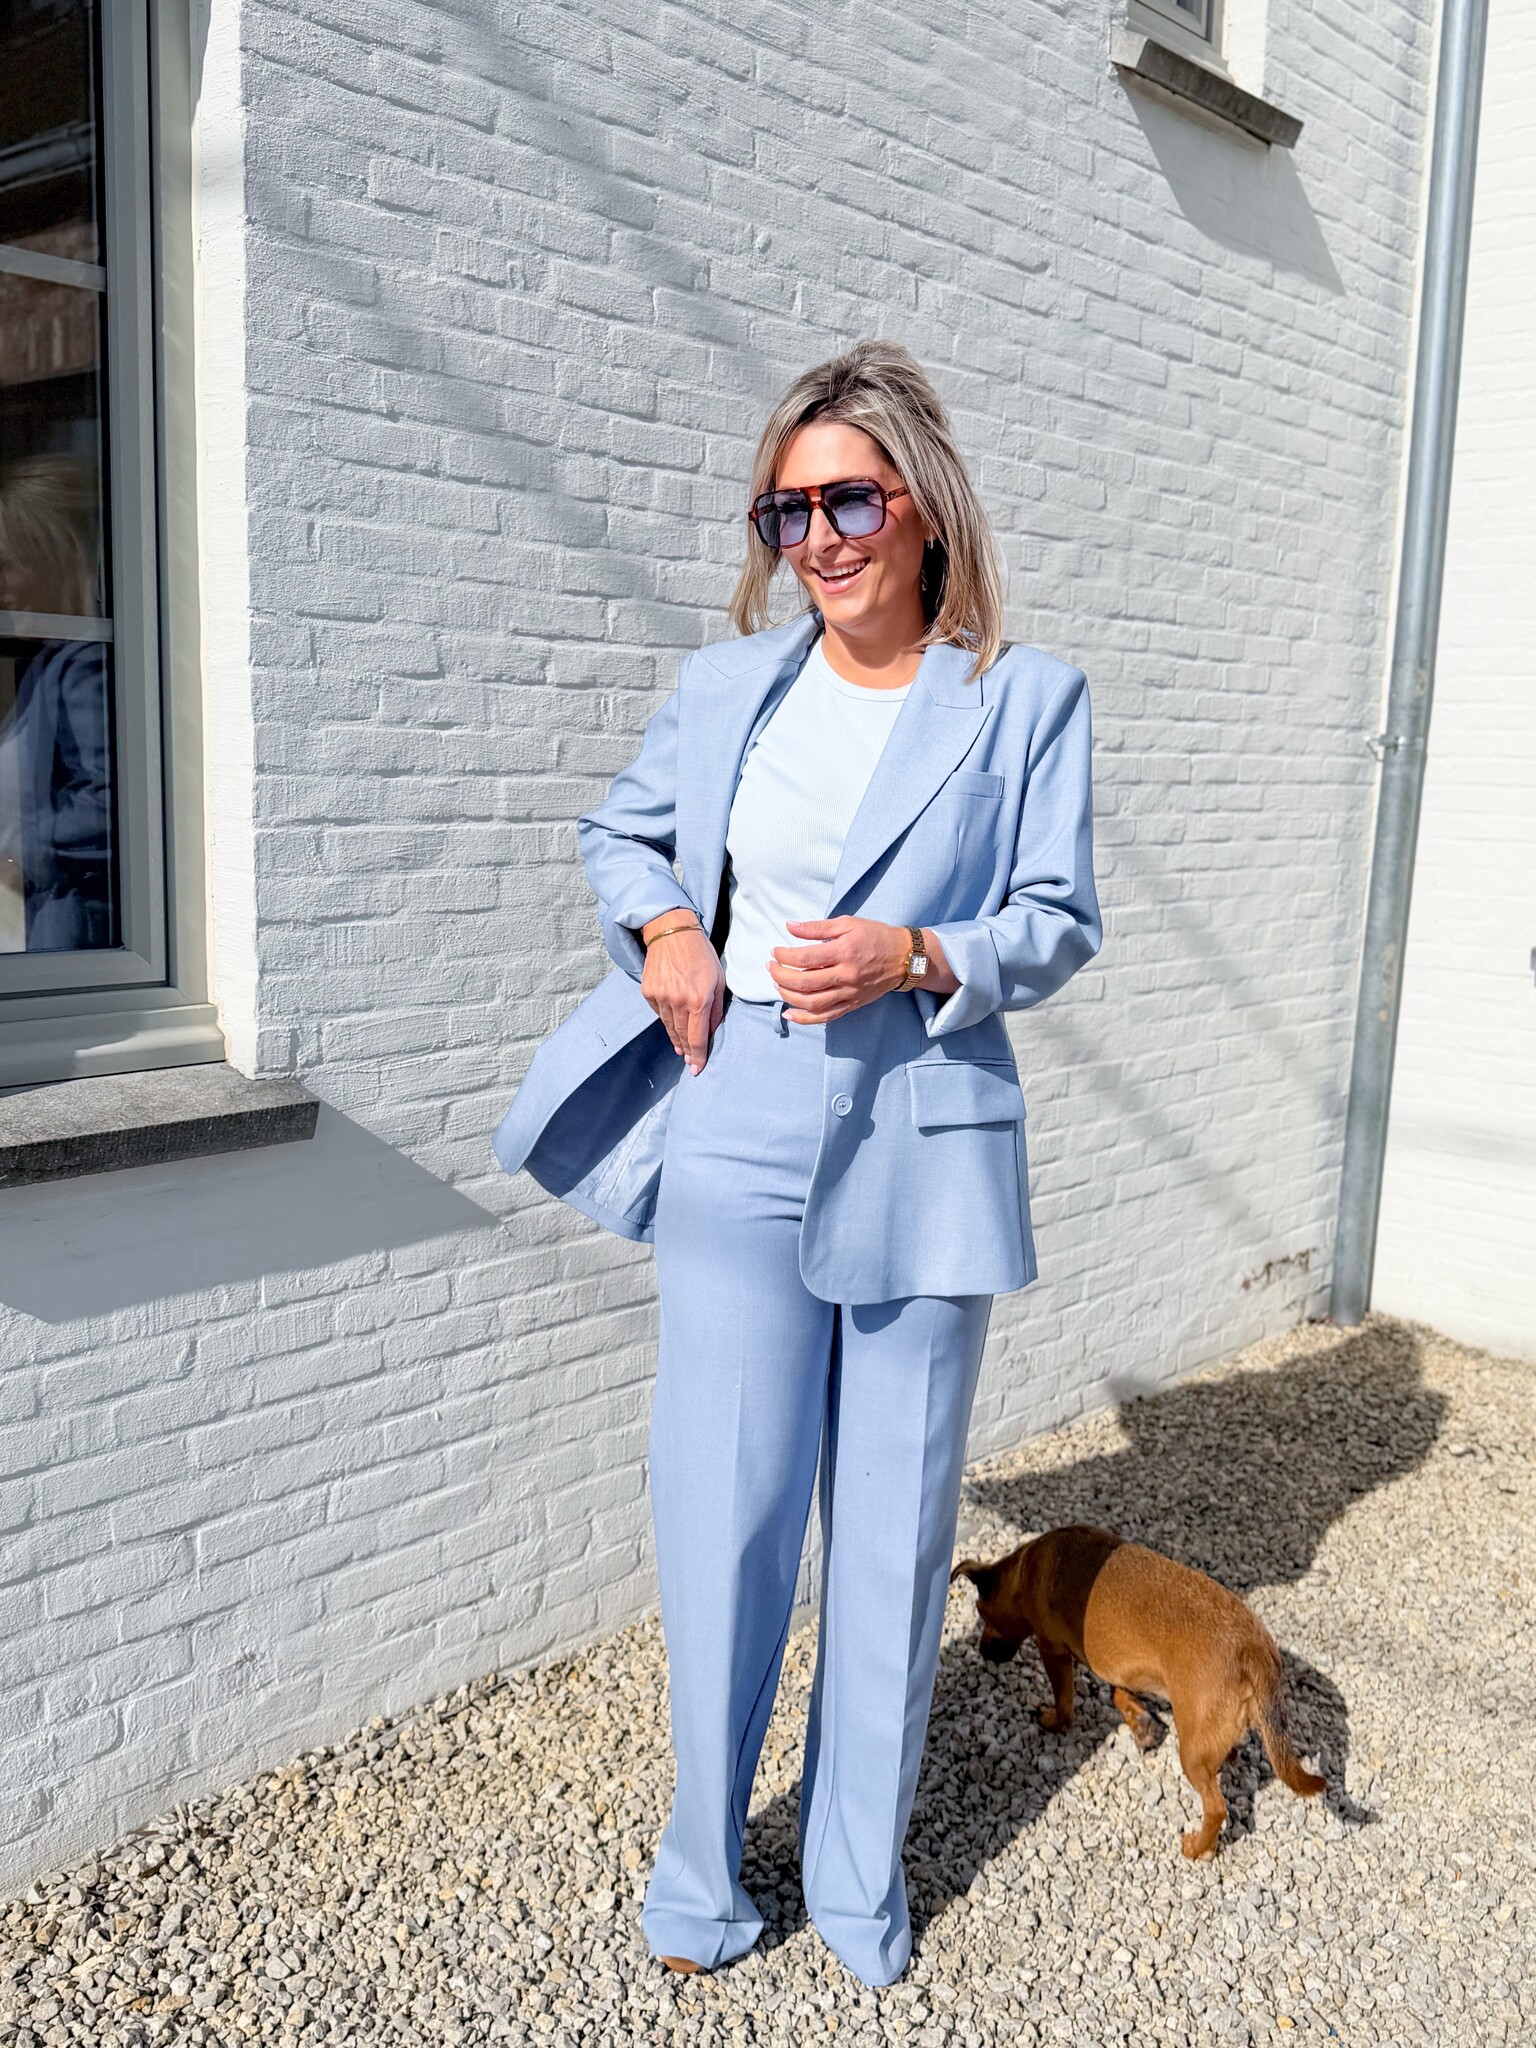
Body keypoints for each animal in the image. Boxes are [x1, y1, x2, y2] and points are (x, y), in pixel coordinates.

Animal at [952, 1524, 1326, 1858]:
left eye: (981, 1613)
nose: (982, 1651)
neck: (1025, 1570)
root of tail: (1253, 1648)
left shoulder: (1052, 1650)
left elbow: (1065, 1700)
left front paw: (1055, 1721)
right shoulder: (1122, 1667)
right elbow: (1119, 1694)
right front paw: (1140, 1723)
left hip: (1192, 1754)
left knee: (1217, 1808)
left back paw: (1198, 1848)